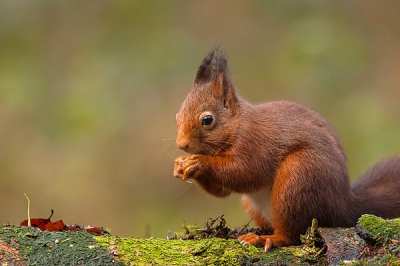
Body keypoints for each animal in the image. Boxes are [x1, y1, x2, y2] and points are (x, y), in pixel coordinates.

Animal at [173, 48, 400, 251]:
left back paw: (265, 239)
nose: (182, 145)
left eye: (207, 120)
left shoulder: (255, 143)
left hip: (298, 178)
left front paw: (199, 162)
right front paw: (180, 165)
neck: (237, 126)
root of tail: (343, 206)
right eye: (177, 116)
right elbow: (222, 190)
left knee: (291, 234)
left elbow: (246, 173)